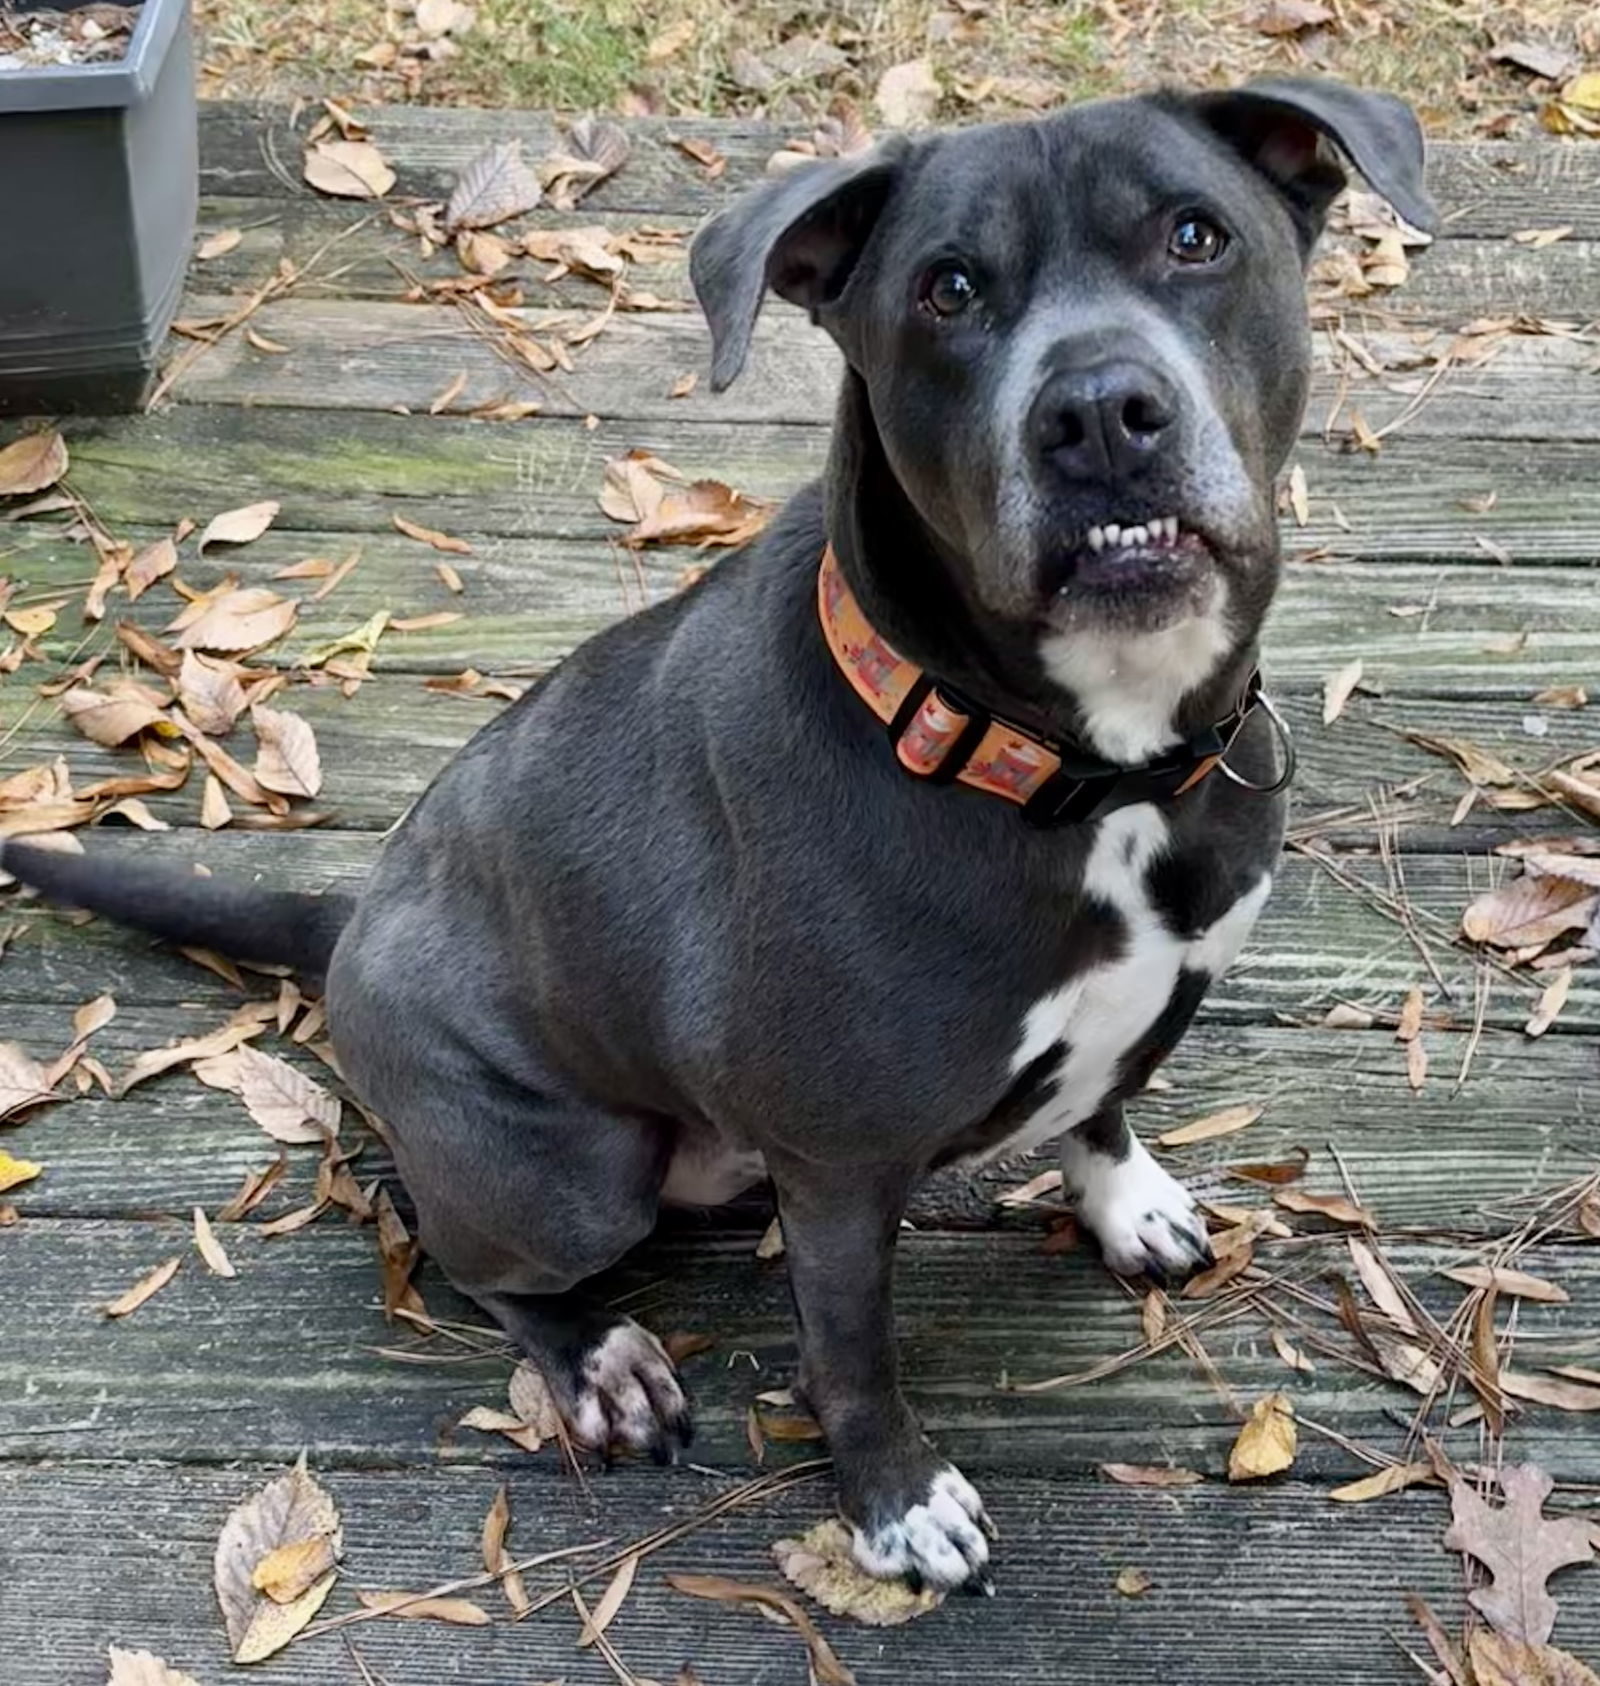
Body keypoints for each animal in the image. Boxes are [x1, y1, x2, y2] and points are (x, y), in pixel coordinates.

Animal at [3, 75, 1436, 1591]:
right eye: (946, 290)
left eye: (1193, 234)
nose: (1101, 411)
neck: (1085, 770)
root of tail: (351, 919)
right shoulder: (842, 1173)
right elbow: (852, 1353)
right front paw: (895, 1501)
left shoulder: (1140, 1004)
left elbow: (1098, 1103)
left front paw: (1124, 1200)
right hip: (567, 1174)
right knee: (468, 1251)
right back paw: (598, 1361)